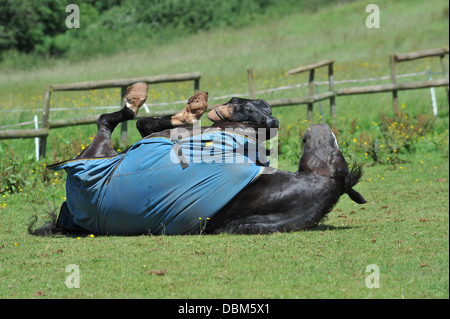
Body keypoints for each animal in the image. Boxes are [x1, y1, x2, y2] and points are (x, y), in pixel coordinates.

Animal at [29, 82, 366, 236]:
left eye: (334, 154)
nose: (322, 128)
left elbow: (148, 125)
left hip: (98, 149)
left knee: (110, 121)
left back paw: (139, 99)